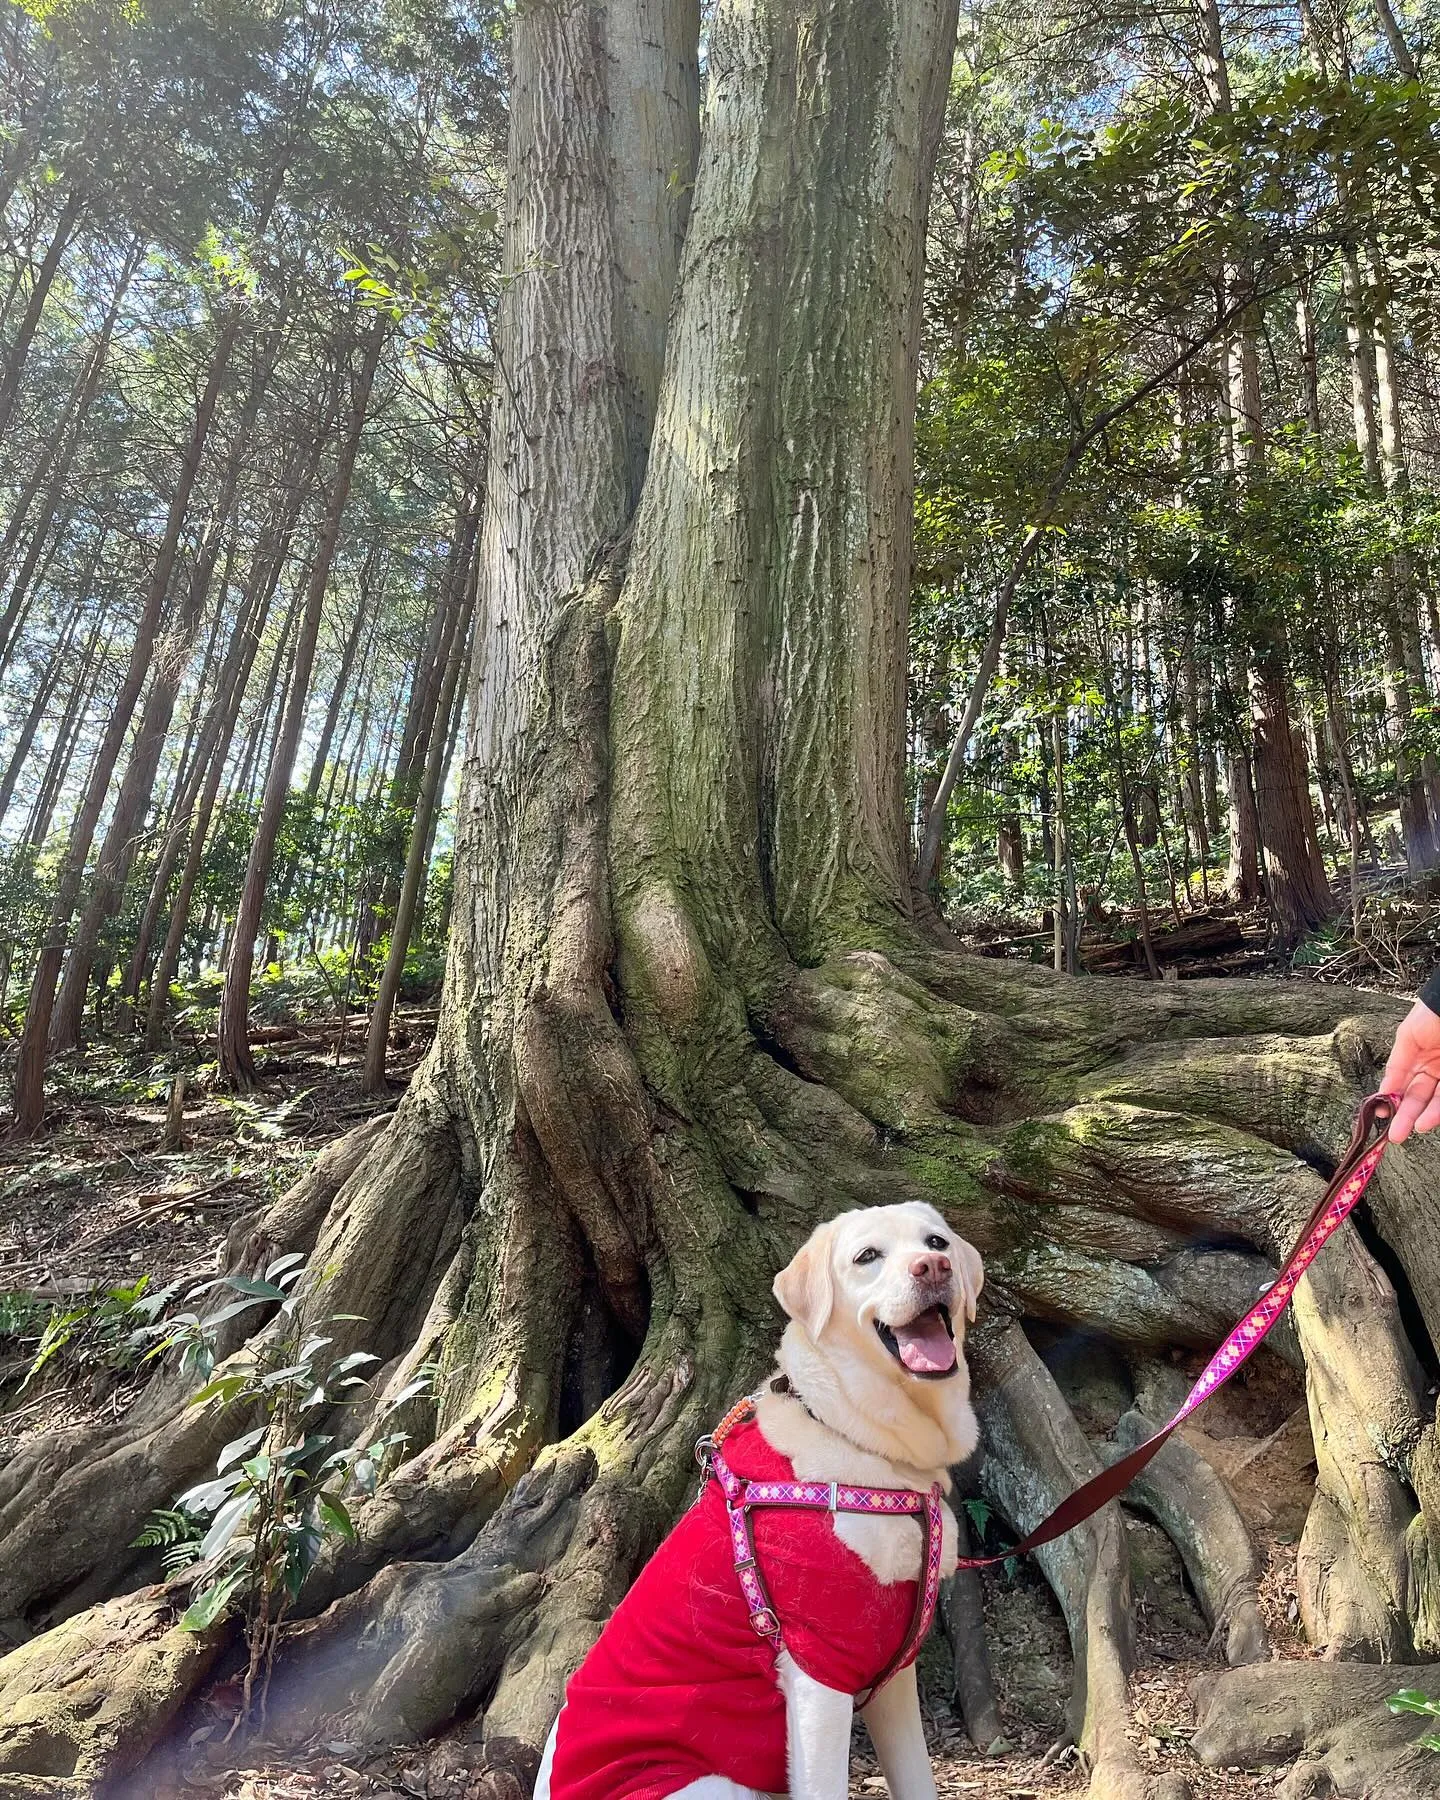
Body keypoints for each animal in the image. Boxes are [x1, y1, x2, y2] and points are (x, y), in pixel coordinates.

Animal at [532, 1195, 986, 1800]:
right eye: (867, 1256)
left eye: (937, 1242)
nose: (932, 1268)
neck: (866, 1445)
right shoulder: (820, 1672)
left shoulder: (892, 1675)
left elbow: (918, 1781)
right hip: (712, 1783)